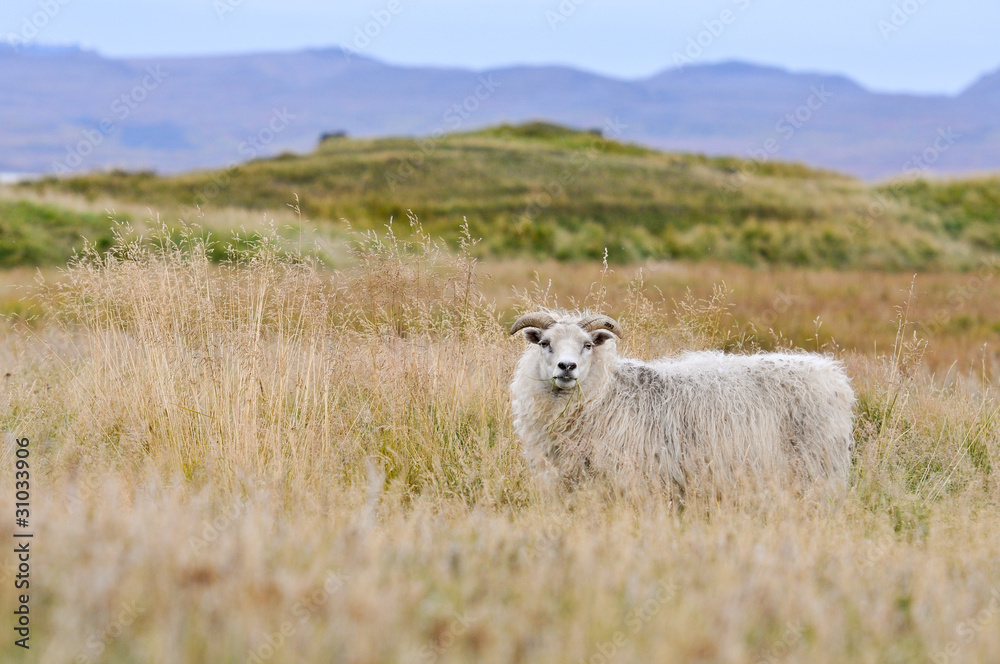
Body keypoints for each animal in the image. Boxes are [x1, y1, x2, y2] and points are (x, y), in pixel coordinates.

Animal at [512, 310, 856, 492]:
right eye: (544, 343)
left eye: (587, 345)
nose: (566, 367)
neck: (609, 391)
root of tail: (832, 375)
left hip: (817, 463)